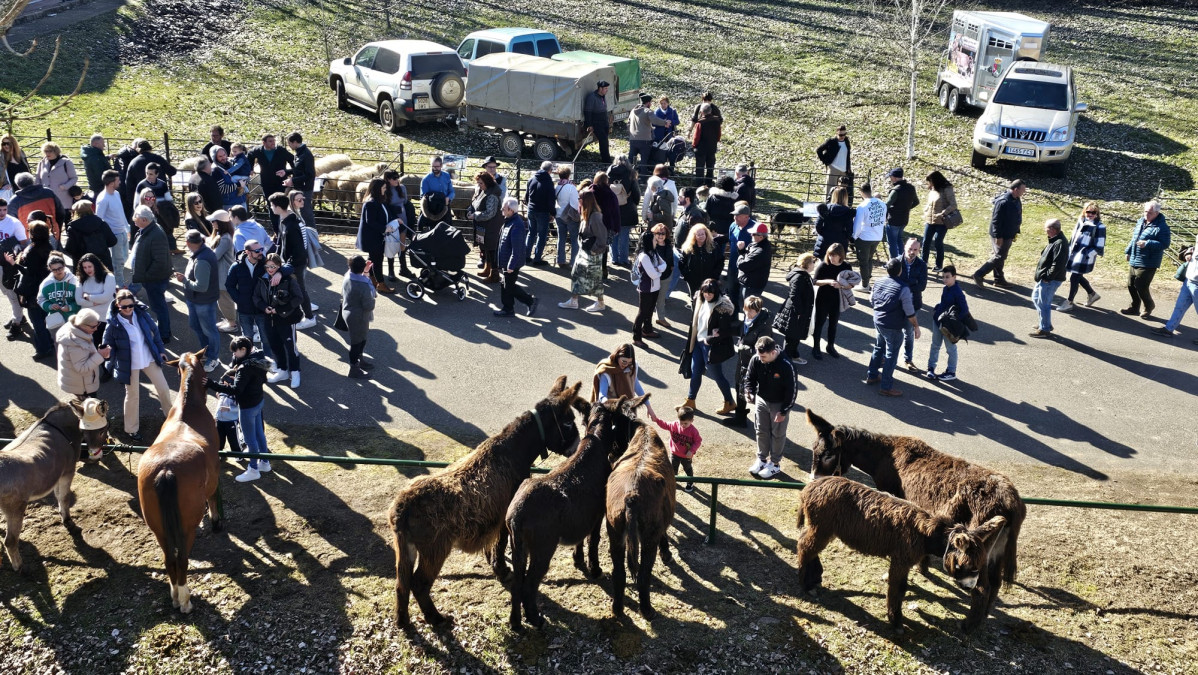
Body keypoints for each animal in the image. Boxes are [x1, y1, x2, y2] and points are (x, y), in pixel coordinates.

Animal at [1, 398, 110, 573]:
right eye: (102, 430)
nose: (94, 455)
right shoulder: (67, 472)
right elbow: (64, 498)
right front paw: (69, 523)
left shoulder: (58, 475)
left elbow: (60, 497)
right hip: (15, 507)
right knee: (10, 541)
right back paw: (20, 567)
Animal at [137, 352, 220, 613]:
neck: (187, 410)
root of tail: (166, 470)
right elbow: (214, 497)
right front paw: (216, 521)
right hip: (186, 528)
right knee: (182, 559)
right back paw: (184, 600)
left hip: (158, 529)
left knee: (169, 559)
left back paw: (174, 594)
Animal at [388, 374, 589, 628]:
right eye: (568, 423)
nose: (576, 449)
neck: (512, 449)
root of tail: (401, 509)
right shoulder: (505, 514)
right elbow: (501, 542)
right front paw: (501, 568)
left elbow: (496, 543)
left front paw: (494, 563)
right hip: (435, 549)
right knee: (419, 584)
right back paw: (436, 618)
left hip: (406, 548)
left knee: (401, 583)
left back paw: (403, 621)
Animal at [603, 414, 680, 618]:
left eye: (614, 430)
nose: (611, 454)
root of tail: (632, 495)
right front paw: (667, 552)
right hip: (648, 539)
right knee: (644, 575)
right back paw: (647, 609)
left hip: (614, 532)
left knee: (619, 573)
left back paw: (617, 609)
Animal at [805, 410, 1020, 637]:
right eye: (814, 450)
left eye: (829, 455)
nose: (814, 481)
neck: (885, 455)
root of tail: (1013, 502)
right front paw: (922, 567)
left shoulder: (894, 496)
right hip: (996, 548)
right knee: (995, 584)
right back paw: (983, 618)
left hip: (979, 543)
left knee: (982, 588)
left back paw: (967, 626)